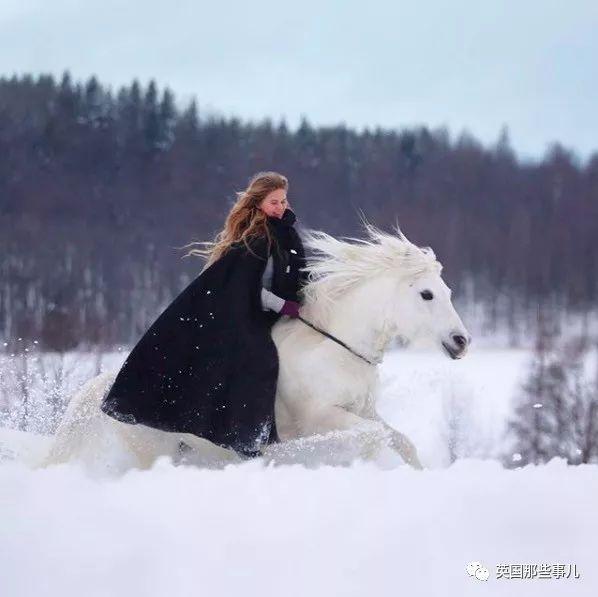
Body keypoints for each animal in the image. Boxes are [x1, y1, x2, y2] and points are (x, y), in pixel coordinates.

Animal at [41, 222, 474, 470]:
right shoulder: (323, 416)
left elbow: (400, 441)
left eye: (448, 292)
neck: (334, 350)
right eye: (426, 295)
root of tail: (105, 394)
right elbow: (369, 437)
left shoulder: (363, 410)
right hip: (151, 451)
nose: (461, 342)